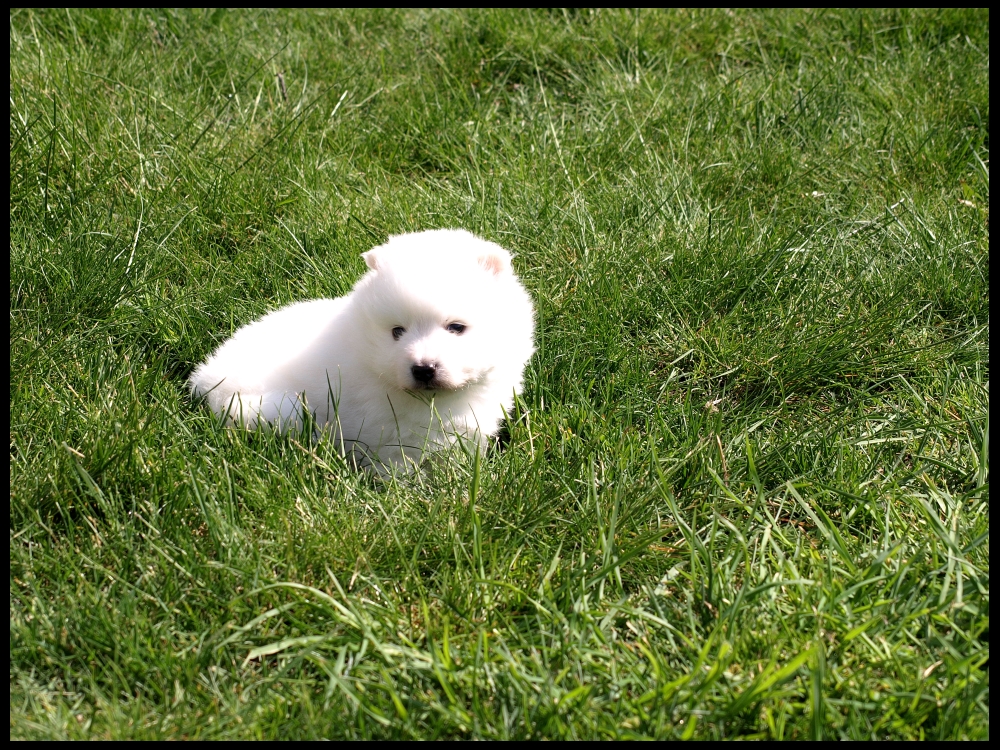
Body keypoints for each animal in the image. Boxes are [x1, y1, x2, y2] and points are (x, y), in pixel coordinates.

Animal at [187, 229, 532, 472]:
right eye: (397, 332)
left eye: (456, 328)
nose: (423, 369)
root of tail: (205, 380)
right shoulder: (392, 436)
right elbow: (403, 469)